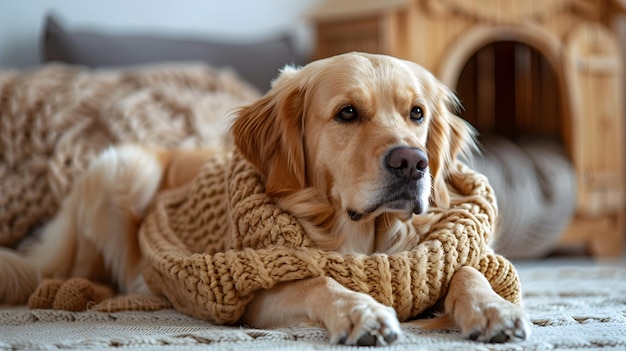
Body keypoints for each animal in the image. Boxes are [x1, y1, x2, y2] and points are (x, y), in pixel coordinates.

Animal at [0, 51, 528, 346]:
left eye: (416, 113)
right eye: (347, 113)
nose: (412, 163)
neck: (366, 241)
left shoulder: (432, 258)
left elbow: (464, 270)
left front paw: (492, 309)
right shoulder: (254, 291)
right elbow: (318, 280)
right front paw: (361, 311)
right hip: (123, 168)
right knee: (82, 269)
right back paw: (84, 291)